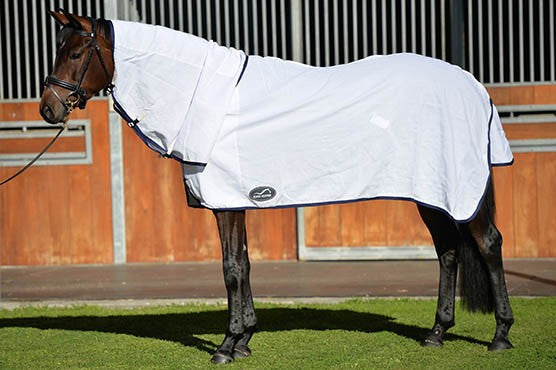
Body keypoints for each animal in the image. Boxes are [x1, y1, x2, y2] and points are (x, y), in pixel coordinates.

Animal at [39, 10, 516, 362]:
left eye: (77, 51)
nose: (48, 109)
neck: (204, 99)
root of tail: (475, 87)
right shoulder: (236, 200)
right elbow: (245, 265)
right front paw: (246, 339)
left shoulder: (226, 202)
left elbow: (231, 269)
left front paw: (226, 346)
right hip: (431, 191)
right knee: (448, 251)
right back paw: (437, 332)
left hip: (459, 189)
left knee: (488, 244)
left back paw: (500, 335)